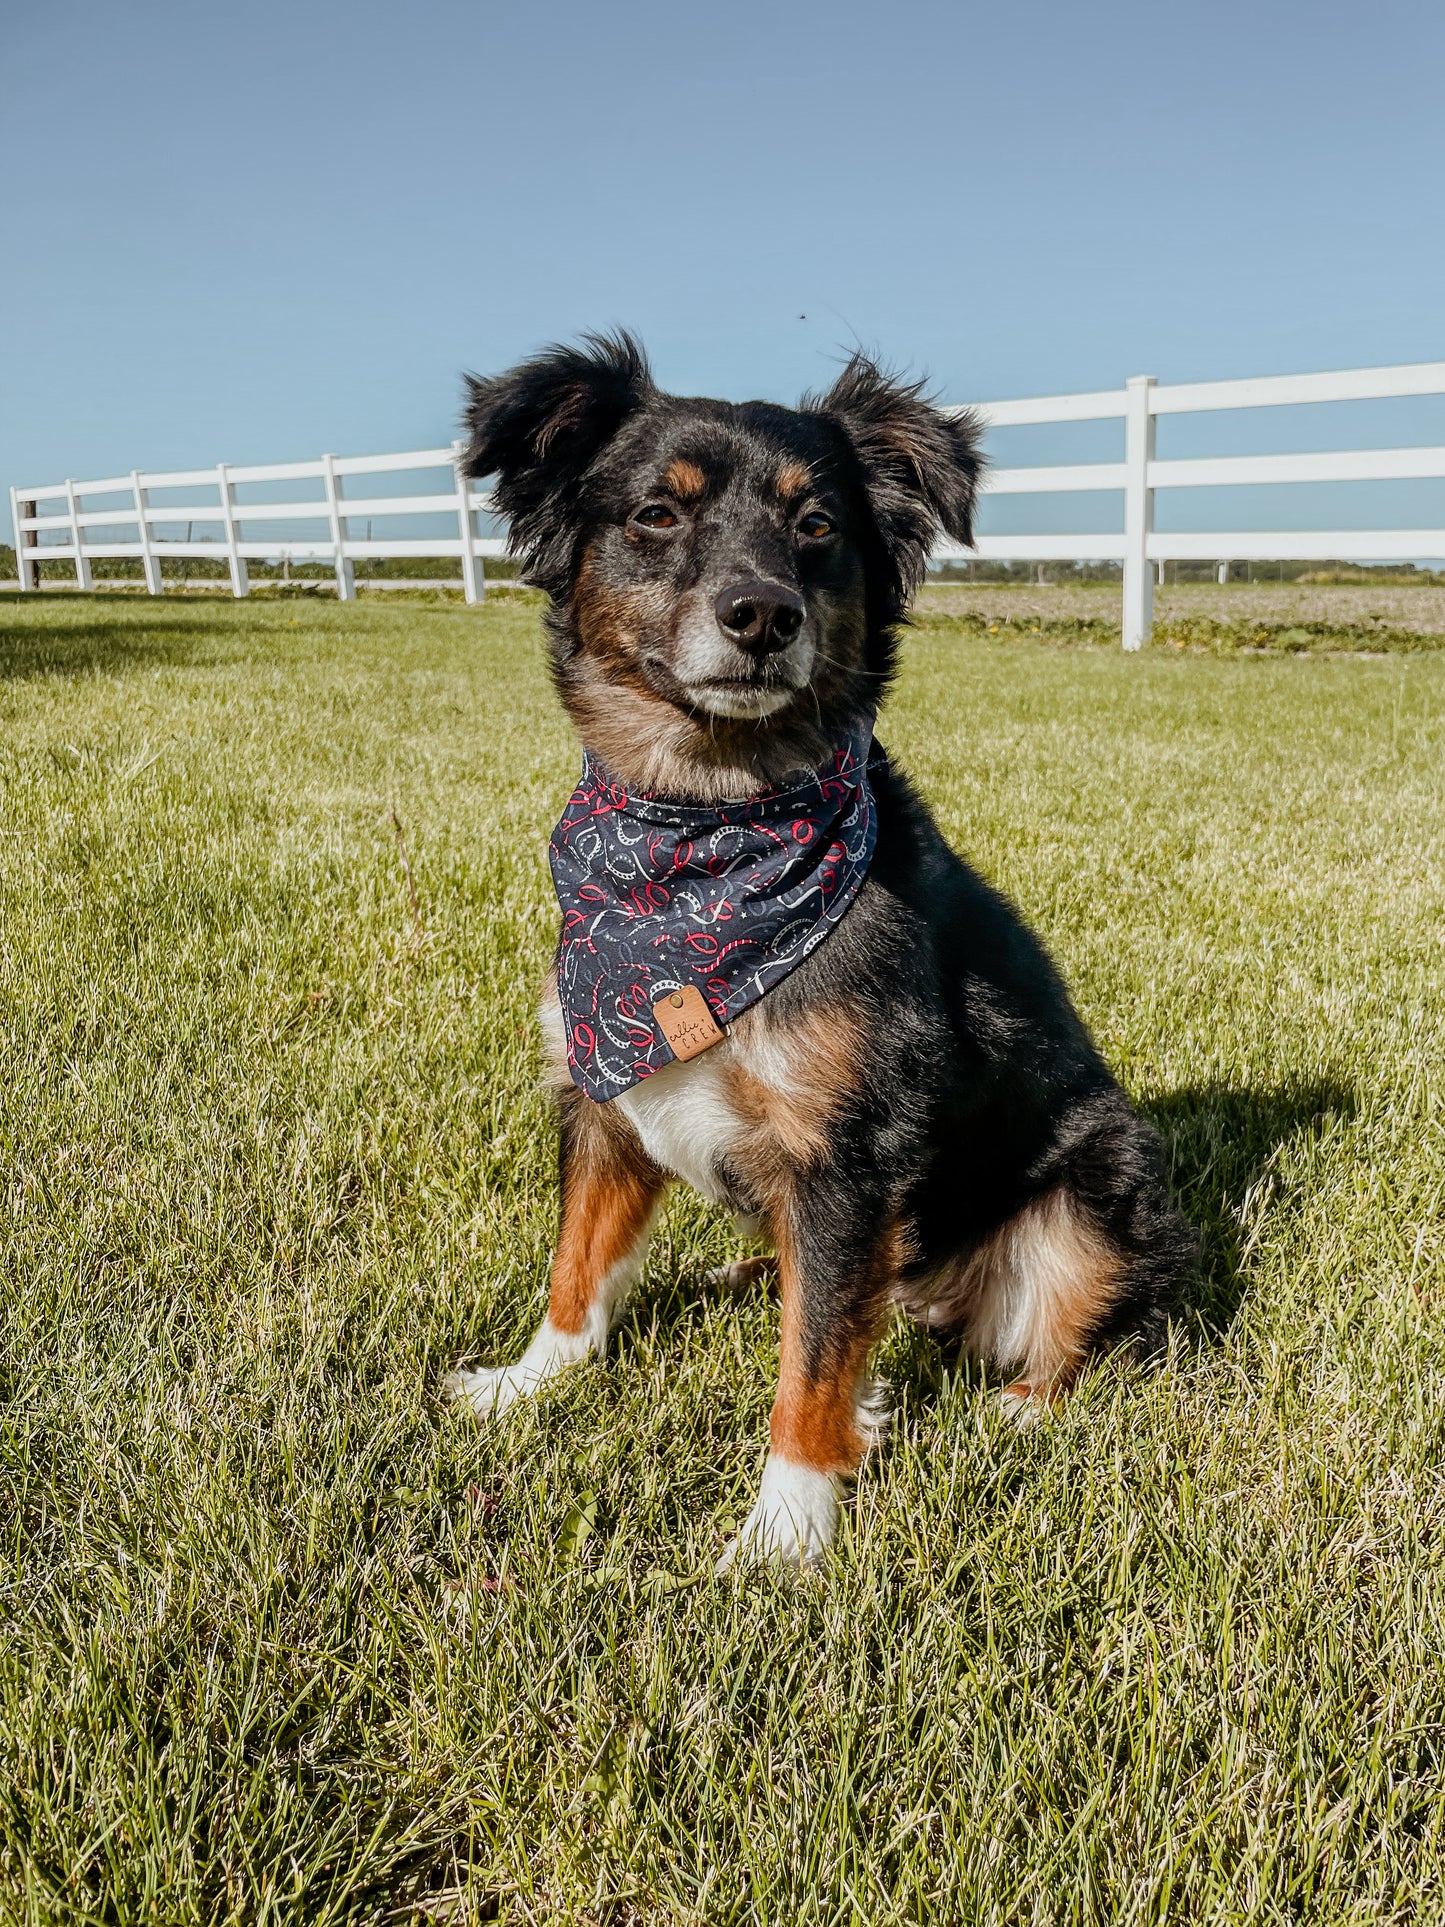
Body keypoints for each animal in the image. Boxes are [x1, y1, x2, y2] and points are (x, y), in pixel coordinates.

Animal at [445, 331, 1202, 1564]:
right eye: (655, 513)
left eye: (815, 525)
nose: (759, 614)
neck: (704, 834)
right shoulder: (602, 1097)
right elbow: (576, 1266)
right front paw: (528, 1383)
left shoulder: (849, 1153)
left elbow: (809, 1363)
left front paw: (785, 1529)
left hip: (1099, 1178)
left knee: (1089, 1330)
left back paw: (1013, 1409)